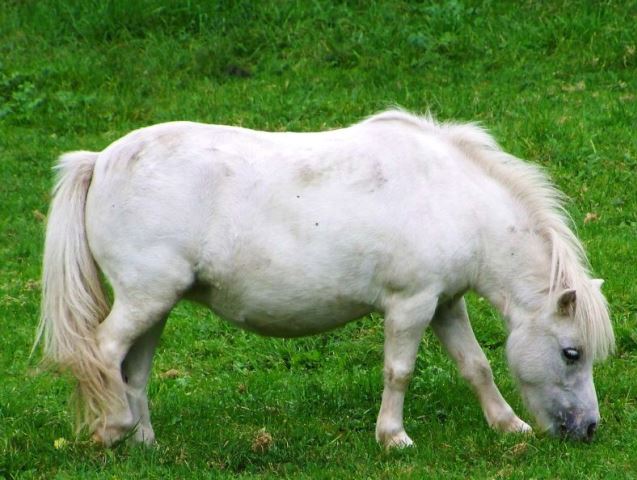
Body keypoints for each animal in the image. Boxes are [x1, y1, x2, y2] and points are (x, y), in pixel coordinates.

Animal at [34, 109, 612, 446]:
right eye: (572, 353)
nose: (588, 430)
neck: (453, 197)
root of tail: (100, 160)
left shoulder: (445, 304)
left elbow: (477, 366)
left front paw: (508, 425)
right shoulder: (411, 304)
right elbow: (399, 372)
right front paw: (393, 437)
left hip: (155, 305)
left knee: (133, 370)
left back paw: (145, 443)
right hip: (144, 300)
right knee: (103, 352)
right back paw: (113, 431)